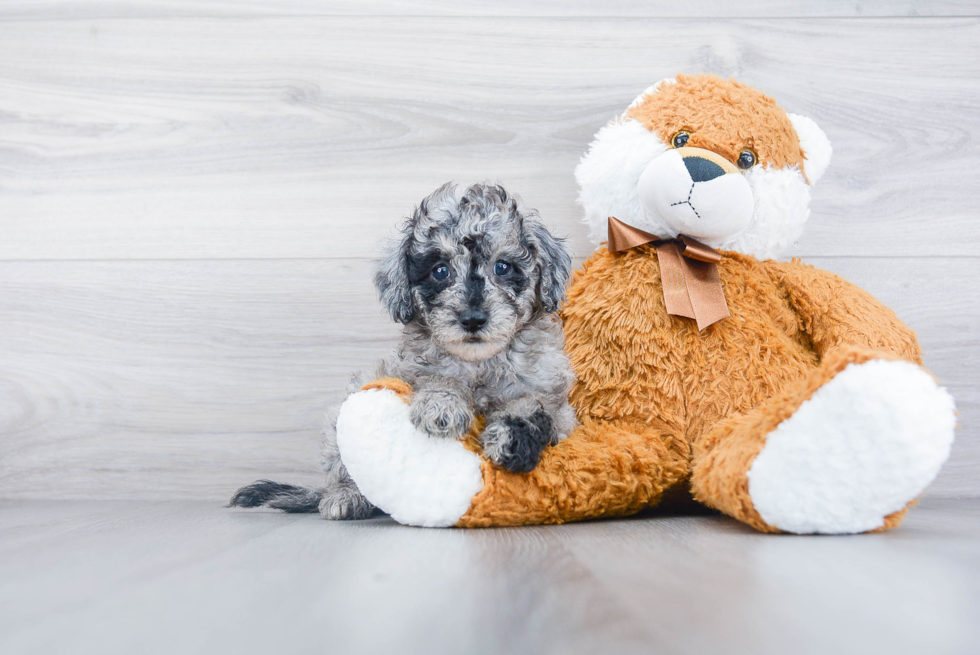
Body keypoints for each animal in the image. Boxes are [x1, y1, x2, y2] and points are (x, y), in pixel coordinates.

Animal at [232, 184, 576, 524]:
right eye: (440, 271)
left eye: (502, 267)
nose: (473, 319)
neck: (479, 364)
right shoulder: (410, 368)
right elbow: (435, 377)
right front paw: (441, 405)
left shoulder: (553, 401)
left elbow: (532, 406)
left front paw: (512, 440)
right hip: (341, 420)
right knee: (343, 469)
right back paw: (345, 497)